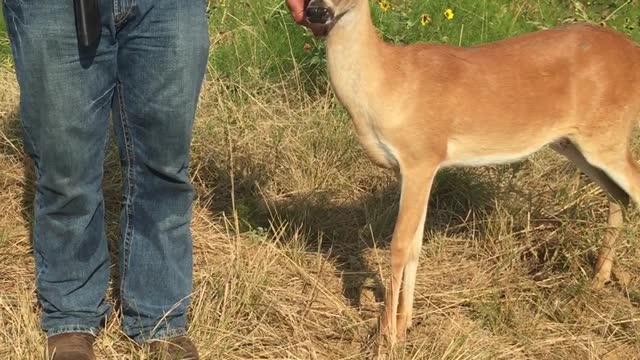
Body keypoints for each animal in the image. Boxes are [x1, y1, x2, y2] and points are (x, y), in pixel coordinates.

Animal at [302, 0, 640, 344]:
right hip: (576, 142)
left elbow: (399, 245)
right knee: (619, 196)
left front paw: (387, 336)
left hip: (607, 135)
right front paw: (405, 323)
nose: (316, 12)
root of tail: (633, 51)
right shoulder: (413, 169)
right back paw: (598, 278)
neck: (388, 84)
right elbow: (415, 245)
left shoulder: (421, 156)